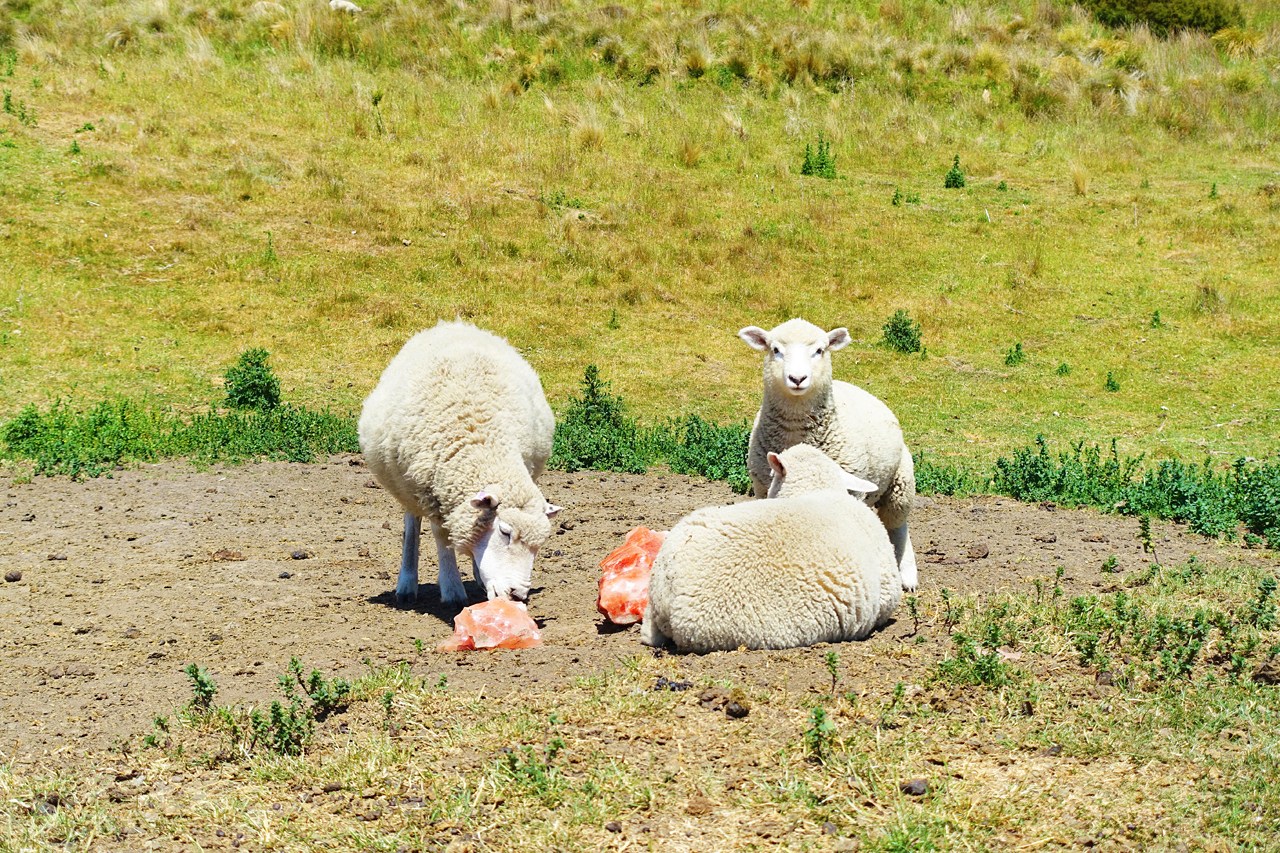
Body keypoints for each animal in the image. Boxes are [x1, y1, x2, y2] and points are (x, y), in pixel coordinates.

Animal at [358, 320, 560, 606]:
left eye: (539, 545)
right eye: (505, 532)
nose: (518, 595)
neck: (483, 446)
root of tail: (453, 324)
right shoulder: (431, 494)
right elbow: (442, 538)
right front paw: (452, 590)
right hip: (407, 487)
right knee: (411, 525)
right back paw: (407, 584)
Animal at [738, 318, 920, 592]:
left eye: (819, 350)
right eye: (775, 349)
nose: (798, 378)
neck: (796, 434)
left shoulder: (851, 490)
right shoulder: (762, 488)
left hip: (901, 482)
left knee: (898, 525)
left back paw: (907, 574)